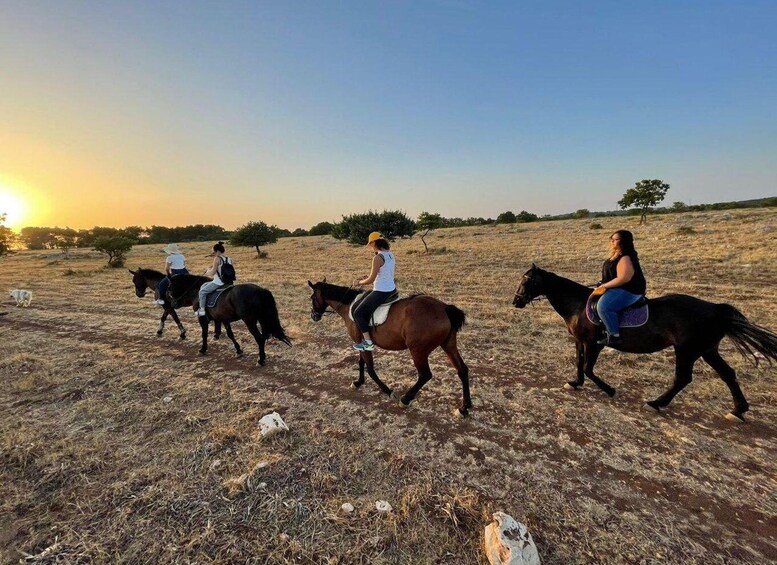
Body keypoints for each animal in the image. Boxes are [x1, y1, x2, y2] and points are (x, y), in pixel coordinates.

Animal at [306, 278, 470, 414]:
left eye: (312, 298)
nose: (314, 316)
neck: (350, 306)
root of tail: (444, 308)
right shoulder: (361, 343)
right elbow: (361, 362)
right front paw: (358, 382)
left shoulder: (362, 342)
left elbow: (370, 369)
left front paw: (388, 391)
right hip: (448, 344)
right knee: (462, 370)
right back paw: (464, 408)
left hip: (418, 351)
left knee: (425, 375)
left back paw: (405, 400)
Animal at [510, 264, 776, 418]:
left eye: (527, 281)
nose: (516, 302)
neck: (577, 303)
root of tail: (716, 309)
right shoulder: (580, 341)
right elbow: (579, 364)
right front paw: (575, 383)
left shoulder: (595, 343)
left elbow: (588, 367)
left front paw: (610, 390)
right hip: (707, 349)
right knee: (727, 374)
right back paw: (738, 410)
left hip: (687, 350)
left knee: (683, 378)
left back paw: (656, 403)